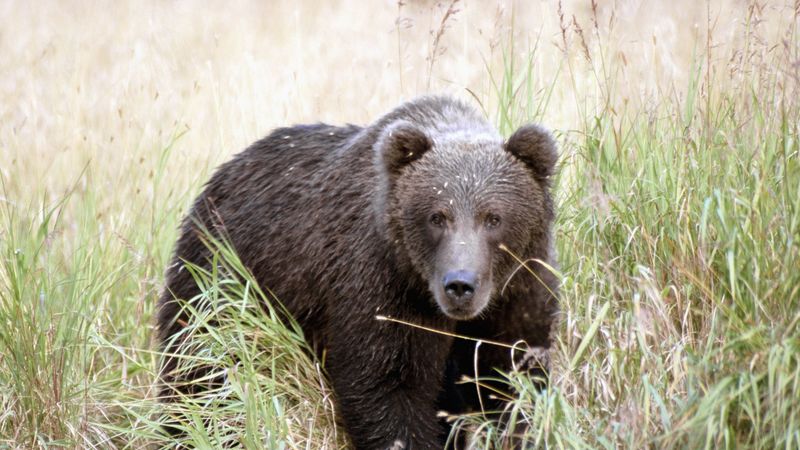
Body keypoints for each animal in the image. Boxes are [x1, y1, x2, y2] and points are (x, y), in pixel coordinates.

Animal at [157, 95, 559, 449]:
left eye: (493, 217)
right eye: (437, 216)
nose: (460, 284)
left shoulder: (519, 289)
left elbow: (513, 379)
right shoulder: (381, 285)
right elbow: (387, 387)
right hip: (220, 281)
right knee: (201, 373)